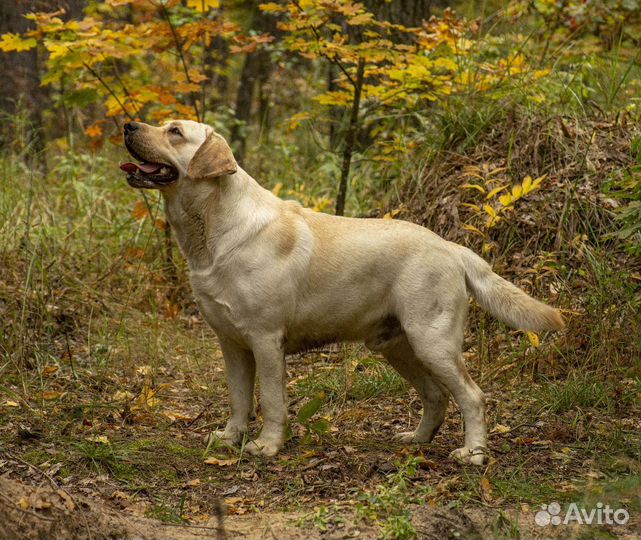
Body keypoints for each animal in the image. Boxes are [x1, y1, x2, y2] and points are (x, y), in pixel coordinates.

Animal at [120, 120, 560, 466]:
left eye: (174, 132)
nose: (128, 125)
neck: (214, 228)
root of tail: (450, 246)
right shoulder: (231, 344)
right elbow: (239, 399)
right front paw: (230, 439)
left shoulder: (265, 339)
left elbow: (272, 401)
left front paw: (267, 446)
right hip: (396, 345)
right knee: (436, 395)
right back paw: (417, 439)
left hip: (432, 341)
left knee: (472, 395)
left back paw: (473, 454)